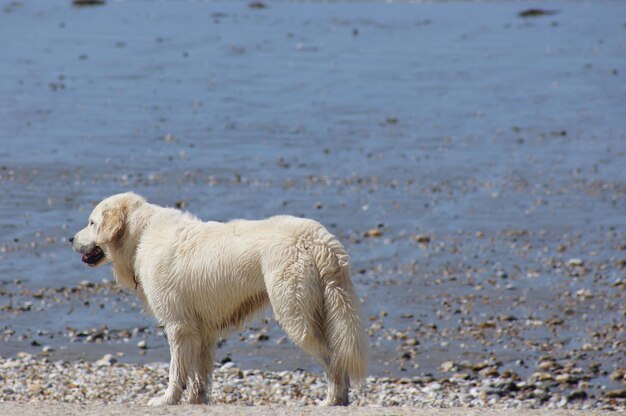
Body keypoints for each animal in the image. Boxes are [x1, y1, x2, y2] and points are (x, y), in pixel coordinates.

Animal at [70, 193, 366, 404]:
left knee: (333, 358)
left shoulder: (178, 325)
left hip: (295, 314)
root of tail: (317, 239)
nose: (71, 238)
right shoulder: (201, 330)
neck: (140, 234)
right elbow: (199, 373)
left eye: (91, 222)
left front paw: (166, 399)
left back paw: (332, 400)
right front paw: (196, 401)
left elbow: (176, 369)